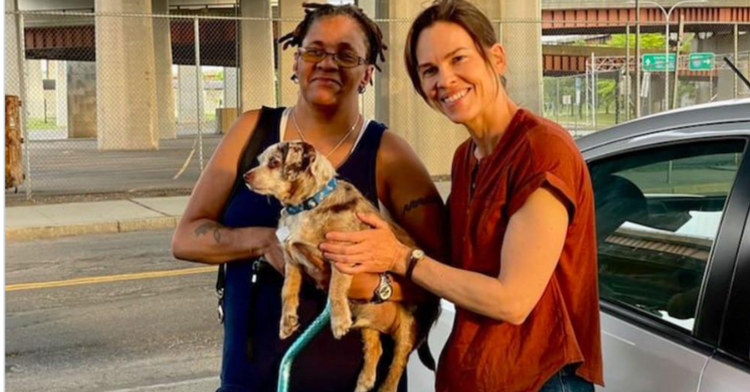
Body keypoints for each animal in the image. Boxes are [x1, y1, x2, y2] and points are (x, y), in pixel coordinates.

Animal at [245, 141, 440, 392]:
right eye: (260, 160)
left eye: (274, 163)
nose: (245, 176)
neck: (308, 205)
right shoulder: (292, 261)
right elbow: (287, 291)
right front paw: (287, 322)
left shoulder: (342, 256)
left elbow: (336, 289)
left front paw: (338, 322)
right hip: (368, 321)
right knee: (376, 349)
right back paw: (364, 381)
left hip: (409, 328)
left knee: (397, 364)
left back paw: (384, 386)